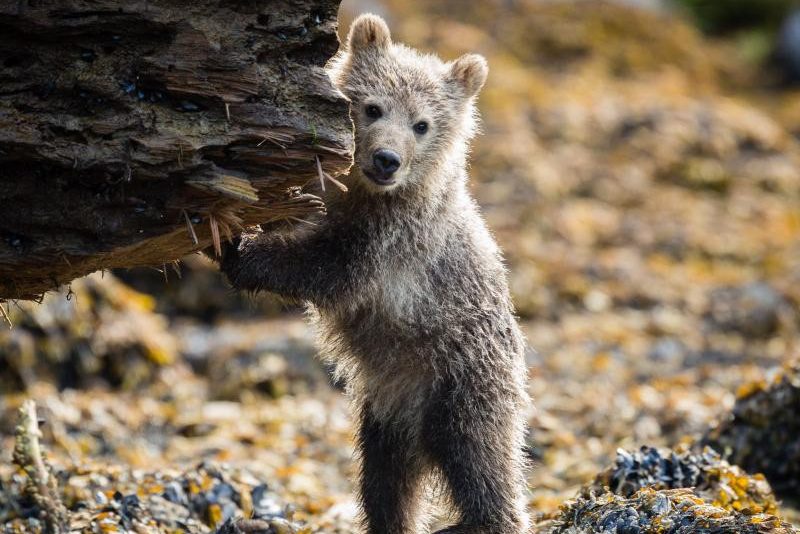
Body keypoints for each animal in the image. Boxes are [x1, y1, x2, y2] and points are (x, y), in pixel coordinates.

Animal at [217, 14, 531, 534]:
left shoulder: (394, 243)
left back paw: (482, 518)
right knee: (386, 481)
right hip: (387, 411)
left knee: (478, 454)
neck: (370, 195)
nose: (387, 159)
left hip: (459, 378)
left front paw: (240, 248)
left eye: (422, 124)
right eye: (372, 107)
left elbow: (333, 270)